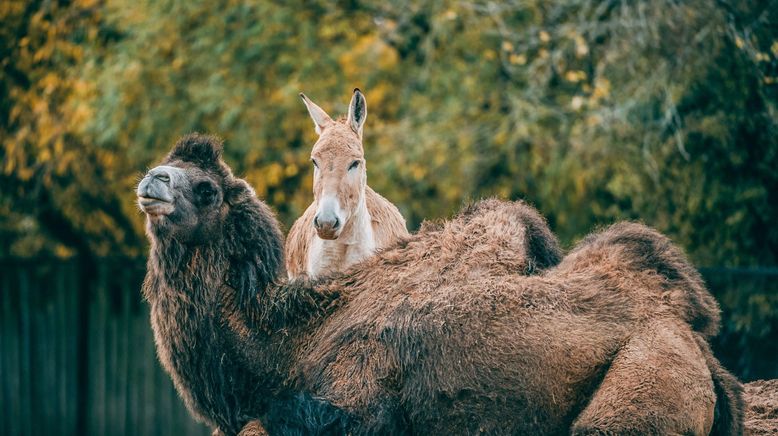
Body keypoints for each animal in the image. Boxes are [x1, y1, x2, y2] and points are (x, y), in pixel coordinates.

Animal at [138, 135, 740, 434]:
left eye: (208, 189)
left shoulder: (349, 406)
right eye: (166, 164)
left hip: (642, 383)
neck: (287, 344)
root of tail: (705, 355)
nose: (151, 181)